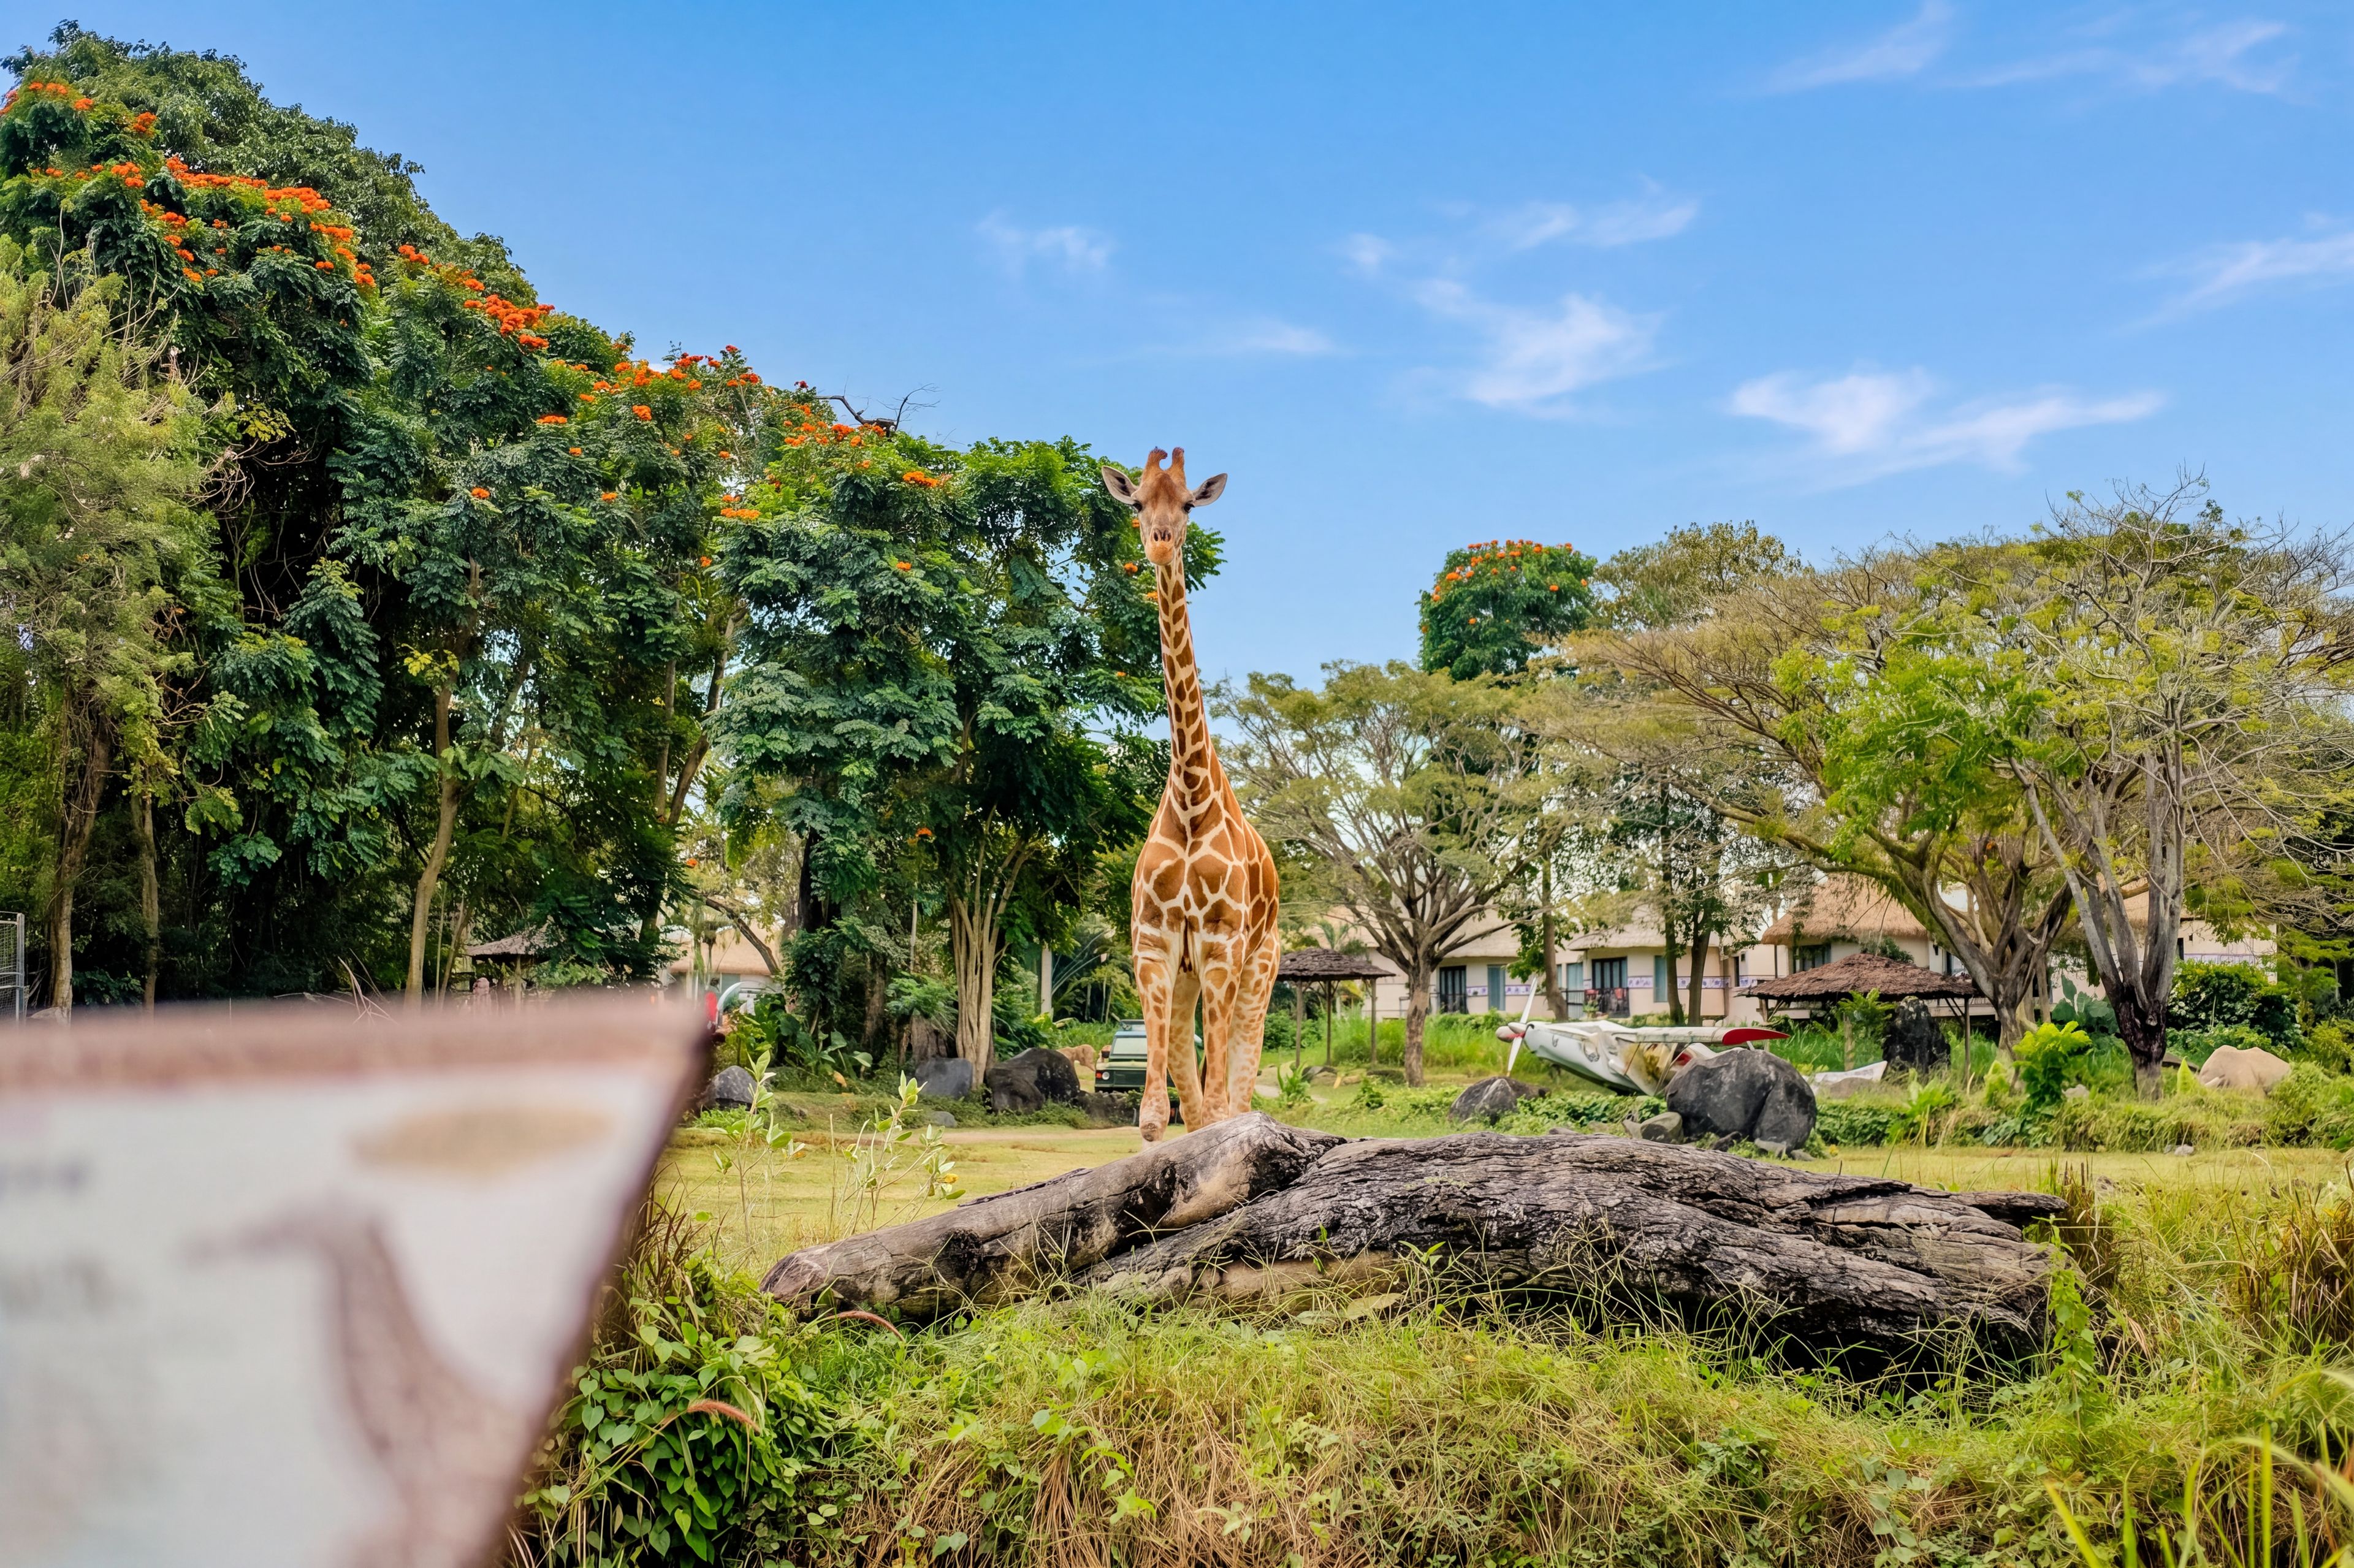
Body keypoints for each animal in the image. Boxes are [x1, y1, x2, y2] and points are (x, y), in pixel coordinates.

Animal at [1101, 448, 1282, 1142]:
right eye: (1135, 502)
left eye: (1187, 505)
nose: (1158, 543)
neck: (1190, 795)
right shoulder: (1153, 944)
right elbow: (1156, 1116)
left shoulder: (1222, 945)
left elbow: (1222, 1108)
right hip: (1184, 980)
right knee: (1199, 1097)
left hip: (1262, 966)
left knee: (1238, 1090)